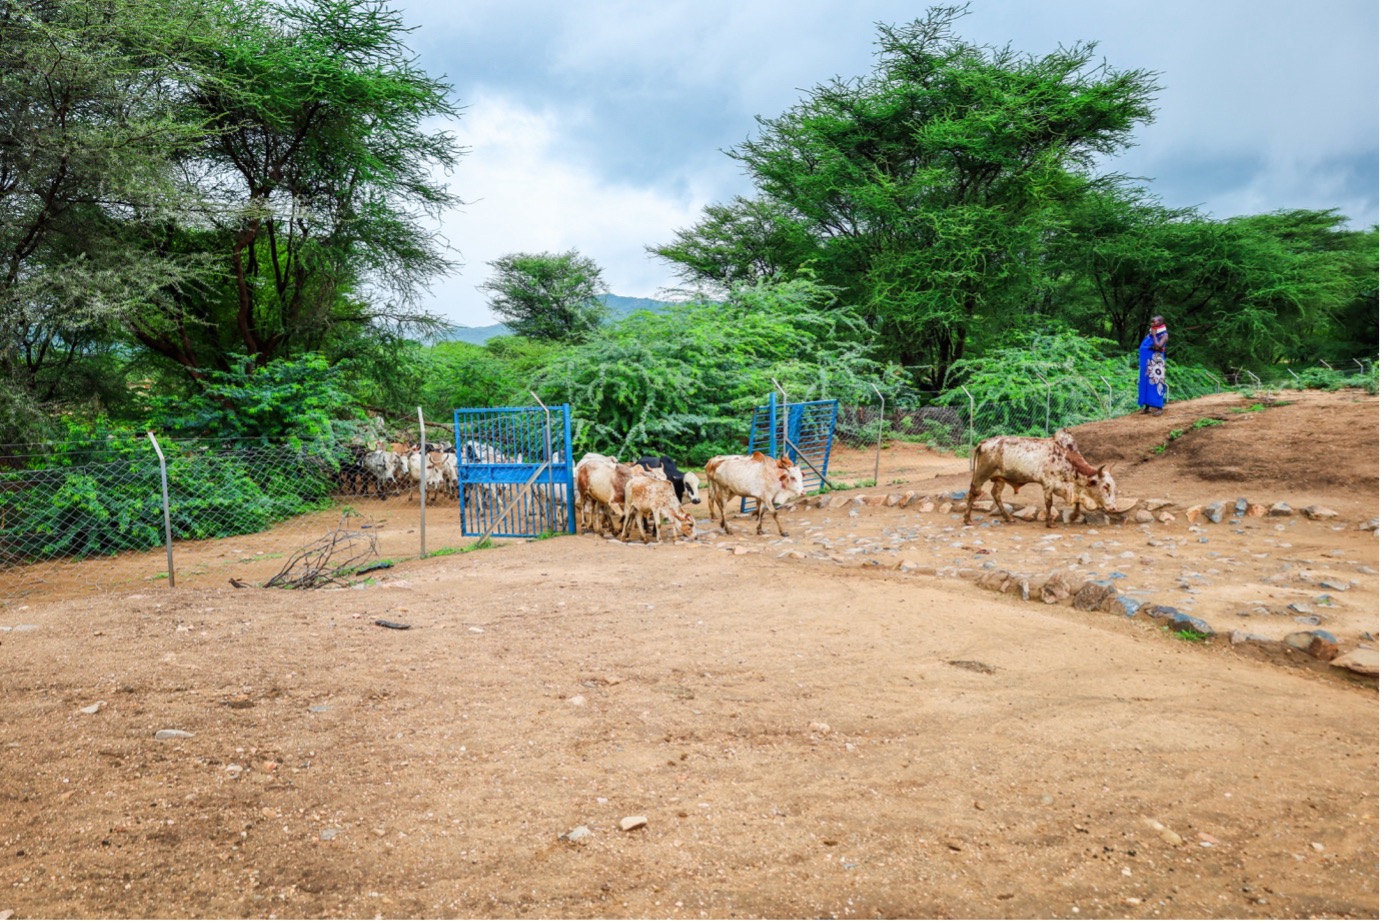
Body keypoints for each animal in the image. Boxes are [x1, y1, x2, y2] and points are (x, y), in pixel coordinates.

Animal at [968, 429, 1118, 528]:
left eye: (1113, 486)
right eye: (1105, 486)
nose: (1113, 508)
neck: (1066, 457)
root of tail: (983, 443)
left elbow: (1076, 503)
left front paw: (1073, 516)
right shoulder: (1048, 484)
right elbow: (1049, 503)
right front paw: (1050, 523)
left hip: (1000, 478)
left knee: (996, 494)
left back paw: (1008, 518)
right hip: (982, 474)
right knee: (974, 491)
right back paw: (967, 519)